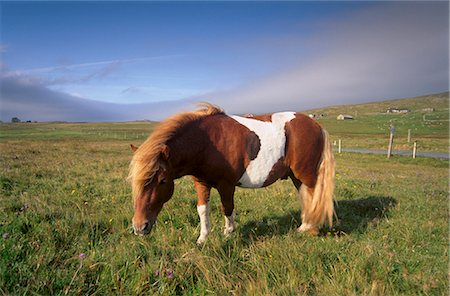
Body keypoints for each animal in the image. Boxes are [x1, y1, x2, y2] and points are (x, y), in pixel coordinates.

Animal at [128, 103, 332, 243]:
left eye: (162, 180)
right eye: (134, 183)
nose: (140, 227)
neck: (207, 142)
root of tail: (316, 125)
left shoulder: (226, 185)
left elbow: (227, 208)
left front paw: (228, 233)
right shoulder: (201, 183)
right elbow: (203, 209)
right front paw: (203, 238)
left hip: (306, 175)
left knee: (314, 197)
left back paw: (312, 230)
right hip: (296, 176)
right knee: (306, 197)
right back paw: (304, 226)